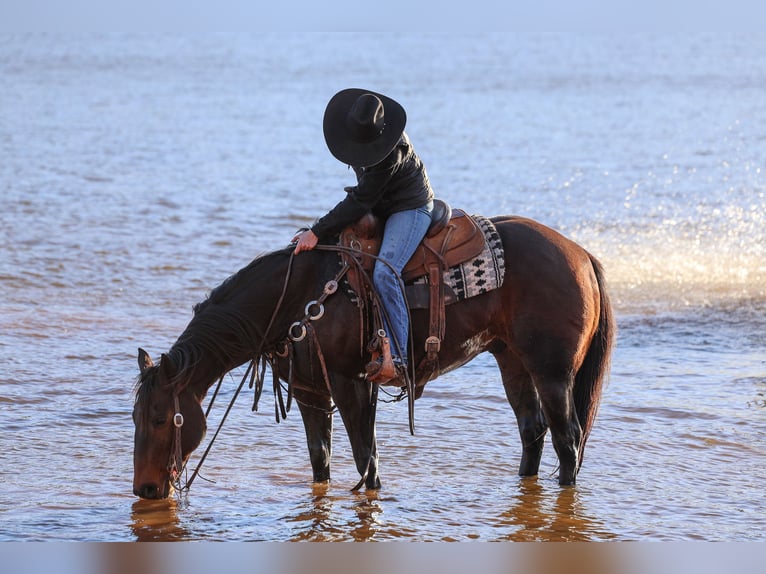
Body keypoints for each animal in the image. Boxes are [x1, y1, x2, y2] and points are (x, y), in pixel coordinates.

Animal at [132, 213, 615, 499]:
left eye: (160, 418)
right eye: (135, 417)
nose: (145, 490)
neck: (300, 296)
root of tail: (581, 255)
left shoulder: (351, 384)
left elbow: (367, 457)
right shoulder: (310, 391)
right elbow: (320, 460)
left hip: (552, 372)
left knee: (568, 438)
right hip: (511, 360)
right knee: (532, 431)